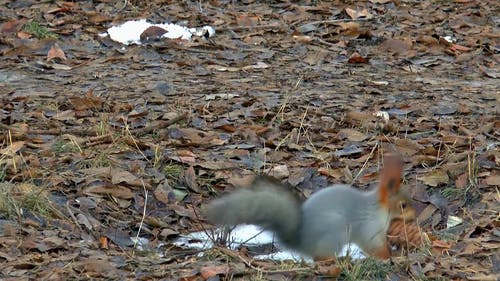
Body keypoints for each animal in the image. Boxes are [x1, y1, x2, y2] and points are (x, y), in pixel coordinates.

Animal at [205, 153, 416, 258]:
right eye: (403, 205)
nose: (415, 216)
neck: (379, 209)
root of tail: (302, 243)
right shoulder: (368, 228)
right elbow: (373, 246)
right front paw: (389, 256)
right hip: (336, 231)